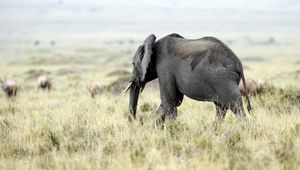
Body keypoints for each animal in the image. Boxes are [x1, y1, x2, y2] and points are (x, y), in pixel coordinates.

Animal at [123, 32, 252, 123]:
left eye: (133, 64)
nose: (133, 122)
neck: (154, 44)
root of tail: (238, 63)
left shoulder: (164, 68)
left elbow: (170, 99)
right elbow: (175, 100)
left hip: (223, 80)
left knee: (235, 105)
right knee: (221, 107)